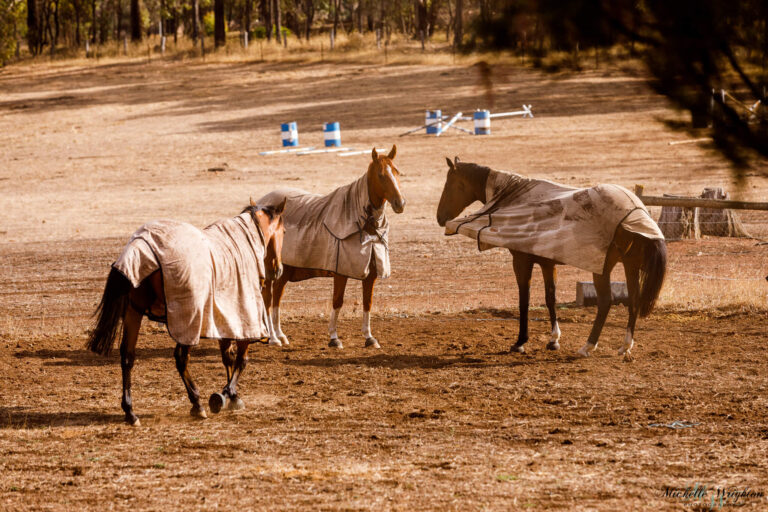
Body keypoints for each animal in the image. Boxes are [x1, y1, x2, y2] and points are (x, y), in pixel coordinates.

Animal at [85, 200, 288, 428]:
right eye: (284, 231)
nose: (278, 269)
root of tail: (142, 247)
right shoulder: (243, 317)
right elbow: (241, 359)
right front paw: (228, 395)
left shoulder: (223, 317)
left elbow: (227, 356)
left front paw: (230, 396)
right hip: (188, 318)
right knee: (181, 359)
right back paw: (197, 404)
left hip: (133, 312)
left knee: (127, 356)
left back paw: (130, 412)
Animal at [256, 146, 404, 350]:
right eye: (381, 175)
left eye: (397, 172)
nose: (400, 203)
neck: (364, 224)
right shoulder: (340, 272)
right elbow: (337, 302)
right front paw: (334, 338)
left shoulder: (371, 274)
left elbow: (367, 303)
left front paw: (369, 337)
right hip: (270, 269)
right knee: (267, 299)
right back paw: (273, 338)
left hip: (283, 270)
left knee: (276, 297)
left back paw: (280, 335)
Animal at [438, 158, 664, 358]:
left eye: (449, 185)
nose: (440, 217)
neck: (513, 198)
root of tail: (636, 212)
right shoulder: (547, 264)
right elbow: (550, 298)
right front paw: (553, 340)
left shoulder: (521, 261)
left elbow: (524, 299)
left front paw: (520, 342)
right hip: (631, 266)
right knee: (634, 300)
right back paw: (625, 346)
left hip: (602, 268)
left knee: (606, 302)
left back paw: (588, 346)